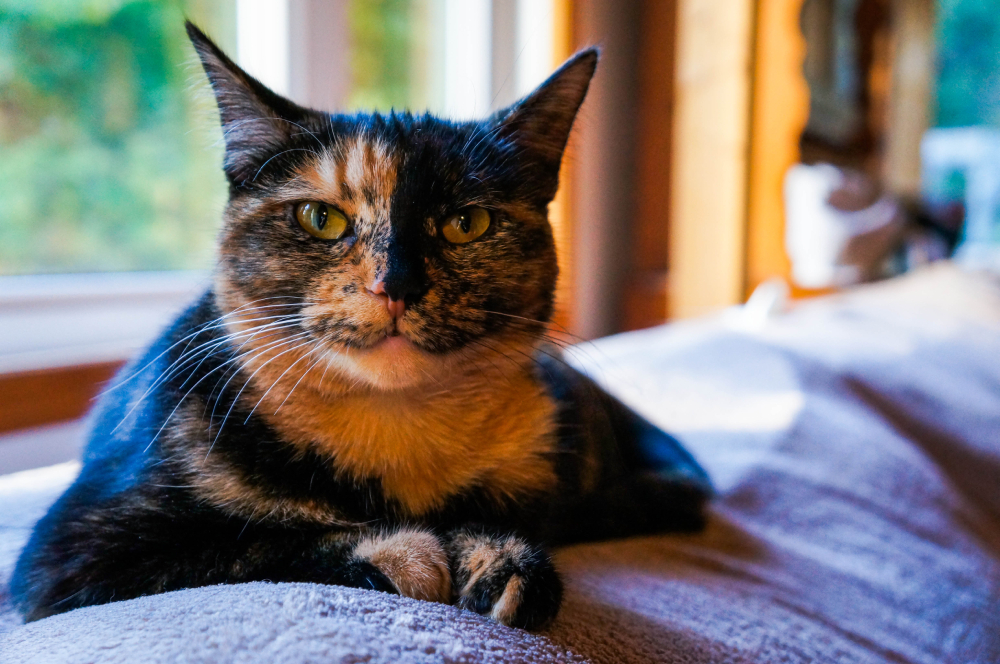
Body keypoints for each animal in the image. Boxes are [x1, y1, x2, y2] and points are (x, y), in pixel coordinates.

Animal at [9, 23, 712, 632]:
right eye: (321, 218)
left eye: (468, 223)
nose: (395, 284)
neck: (393, 430)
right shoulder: (69, 555)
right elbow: (252, 543)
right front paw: (411, 554)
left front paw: (501, 562)